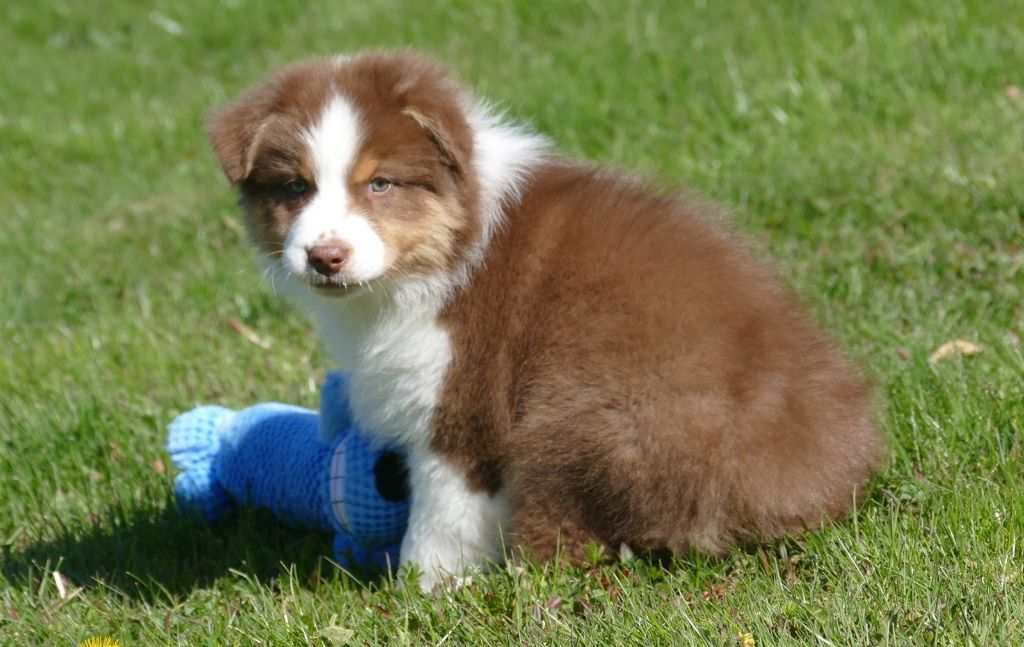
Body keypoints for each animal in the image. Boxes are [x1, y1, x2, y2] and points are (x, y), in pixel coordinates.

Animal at [208, 51, 883, 590]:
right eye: (295, 187)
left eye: (379, 185)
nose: (325, 256)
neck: (450, 245)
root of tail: (819, 476)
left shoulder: (460, 401)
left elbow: (442, 514)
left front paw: (420, 592)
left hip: (582, 416)